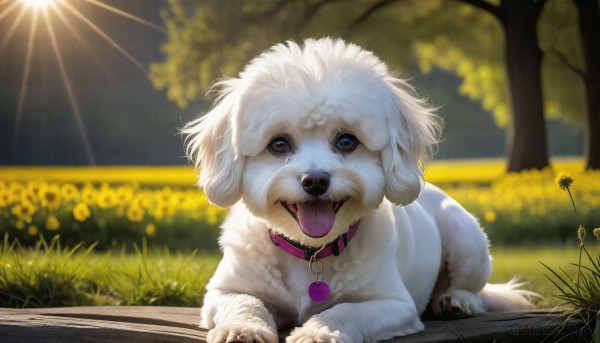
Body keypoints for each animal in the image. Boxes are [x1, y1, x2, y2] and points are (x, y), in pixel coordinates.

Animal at [184, 38, 536, 343]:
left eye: (346, 141)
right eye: (279, 144)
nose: (315, 180)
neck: (312, 253)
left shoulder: (394, 303)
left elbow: (345, 311)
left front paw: (319, 332)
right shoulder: (221, 292)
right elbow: (244, 302)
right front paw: (242, 329)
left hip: (465, 236)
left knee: (475, 291)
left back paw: (457, 301)